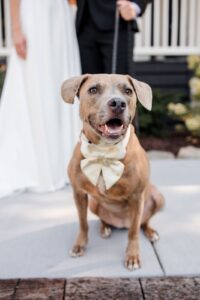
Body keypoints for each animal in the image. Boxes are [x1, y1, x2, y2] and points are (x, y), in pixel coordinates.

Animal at [61, 74, 164, 270]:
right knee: (103, 219)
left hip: (157, 196)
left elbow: (133, 231)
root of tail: (120, 223)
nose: (118, 103)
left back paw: (150, 231)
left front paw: (132, 256)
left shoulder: (137, 196)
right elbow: (83, 223)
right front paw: (79, 245)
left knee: (143, 222)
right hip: (94, 203)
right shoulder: (78, 193)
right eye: (93, 89)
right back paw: (105, 228)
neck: (104, 152)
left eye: (128, 91)